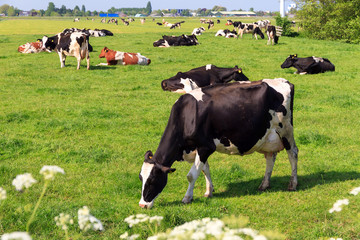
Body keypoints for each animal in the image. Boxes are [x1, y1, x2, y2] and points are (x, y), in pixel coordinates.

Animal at [139, 77, 300, 208]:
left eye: (152, 180)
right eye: (141, 178)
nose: (142, 205)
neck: (187, 115)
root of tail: (284, 81)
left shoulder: (205, 147)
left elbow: (192, 175)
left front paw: (187, 198)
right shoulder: (199, 149)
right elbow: (205, 169)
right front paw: (209, 191)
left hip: (285, 130)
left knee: (293, 153)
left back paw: (292, 184)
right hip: (268, 136)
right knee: (270, 158)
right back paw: (264, 184)